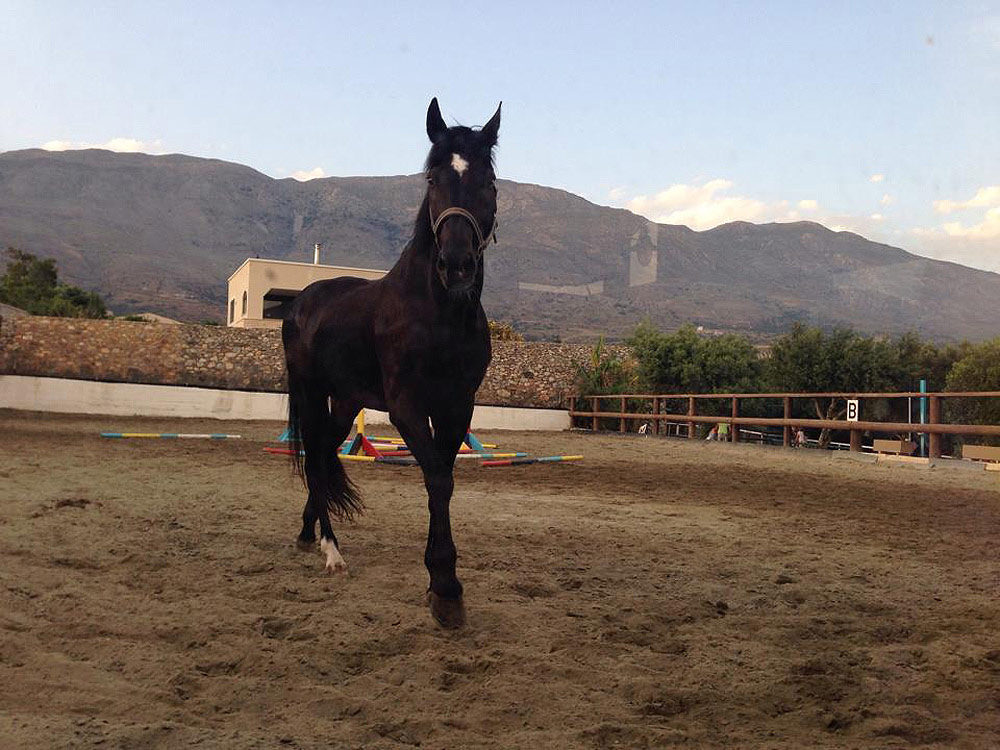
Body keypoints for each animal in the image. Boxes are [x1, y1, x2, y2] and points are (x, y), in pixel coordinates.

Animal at [281, 98, 500, 629]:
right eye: (432, 179)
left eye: (488, 181)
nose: (457, 265)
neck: (439, 311)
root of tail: (301, 301)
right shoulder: (406, 407)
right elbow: (437, 478)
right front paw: (445, 586)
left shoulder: (456, 407)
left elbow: (443, 478)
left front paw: (438, 579)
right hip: (310, 392)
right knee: (314, 458)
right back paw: (332, 551)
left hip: (344, 402)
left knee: (323, 455)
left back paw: (310, 534)